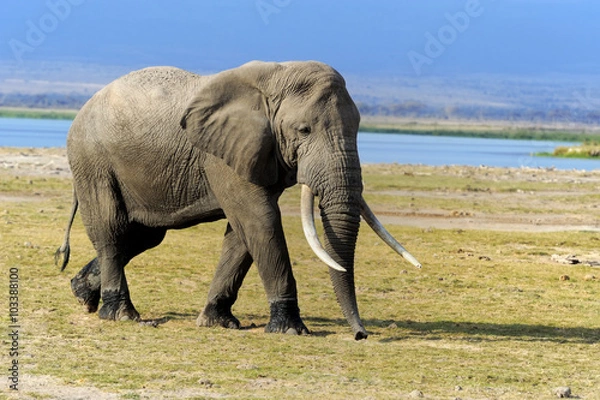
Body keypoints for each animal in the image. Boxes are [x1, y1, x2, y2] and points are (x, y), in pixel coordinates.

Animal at [55, 61, 422, 340]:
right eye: (304, 130)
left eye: (359, 128)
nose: (361, 335)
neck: (276, 76)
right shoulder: (224, 153)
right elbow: (260, 219)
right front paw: (289, 330)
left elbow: (243, 233)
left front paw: (218, 322)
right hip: (93, 160)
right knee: (112, 231)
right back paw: (120, 315)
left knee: (144, 236)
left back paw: (81, 292)